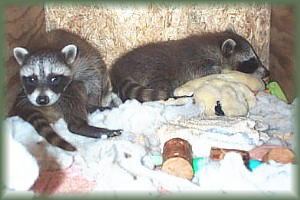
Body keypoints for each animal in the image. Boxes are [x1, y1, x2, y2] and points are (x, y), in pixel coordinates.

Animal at [109, 29, 270, 103]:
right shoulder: (196, 61)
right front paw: (219, 71)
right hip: (154, 69)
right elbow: (205, 70)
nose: (267, 73)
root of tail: (119, 68)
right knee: (162, 86)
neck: (215, 44)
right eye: (251, 62)